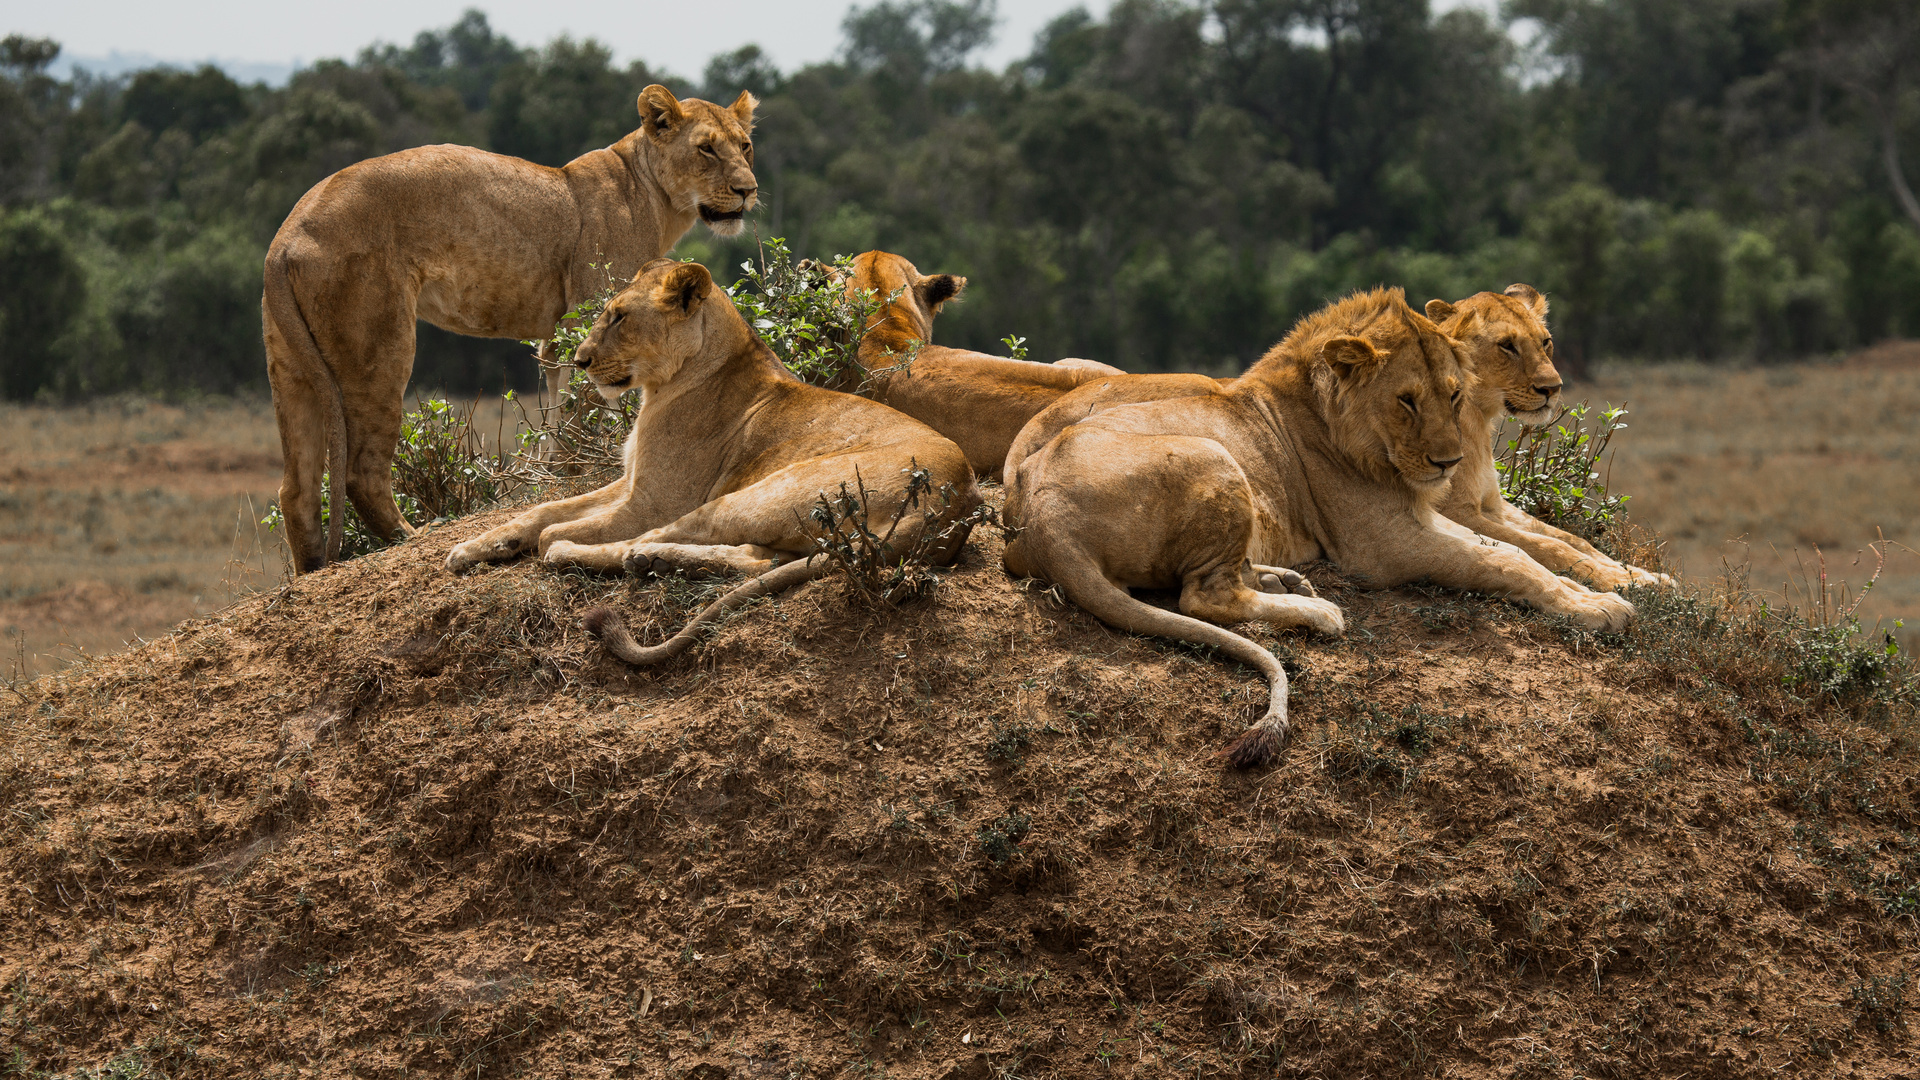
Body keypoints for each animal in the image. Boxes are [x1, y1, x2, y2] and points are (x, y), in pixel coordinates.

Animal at [272, 84, 764, 572]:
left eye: (744, 146)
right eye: (705, 149)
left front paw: (554, 475)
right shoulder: (588, 309)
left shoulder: (557, 338)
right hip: (381, 346)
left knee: (296, 487)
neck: (652, 193)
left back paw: (310, 570)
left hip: (291, 366)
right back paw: (413, 536)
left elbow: (559, 415)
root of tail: (285, 238)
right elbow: (583, 412)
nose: (748, 191)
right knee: (361, 470)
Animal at [445, 261, 975, 664]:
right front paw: (473, 548)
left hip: (768, 490)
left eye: (619, 317)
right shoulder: (631, 482)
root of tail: (958, 501)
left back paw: (606, 556)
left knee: (635, 543)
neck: (665, 383)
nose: (579, 360)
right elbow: (540, 511)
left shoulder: (653, 500)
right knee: (757, 560)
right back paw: (657, 561)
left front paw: (549, 542)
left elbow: (558, 526)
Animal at [1006, 288, 1635, 764]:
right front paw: (1600, 607)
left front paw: (1598, 589)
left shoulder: (1426, 515)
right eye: (1407, 401)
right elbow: (1503, 558)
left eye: (1455, 395)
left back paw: (1285, 580)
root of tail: (1042, 514)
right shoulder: (1384, 547)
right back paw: (1319, 611)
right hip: (1213, 454)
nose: (1449, 464)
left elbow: (1525, 551)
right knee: (1204, 598)